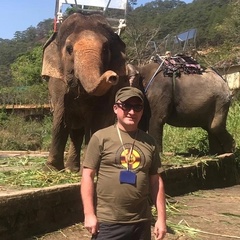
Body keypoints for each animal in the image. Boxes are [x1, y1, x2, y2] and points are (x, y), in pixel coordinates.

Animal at [40, 11, 141, 172]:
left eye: (105, 49)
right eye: (69, 49)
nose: (112, 76)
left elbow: (98, 119)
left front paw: (90, 169)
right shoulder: (57, 82)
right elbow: (61, 116)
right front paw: (51, 170)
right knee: (76, 131)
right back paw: (71, 169)